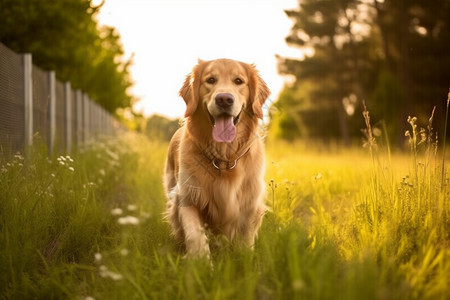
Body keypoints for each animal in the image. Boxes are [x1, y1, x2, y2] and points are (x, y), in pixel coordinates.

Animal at [165, 58, 270, 258]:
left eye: (238, 81)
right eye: (211, 80)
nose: (224, 99)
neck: (224, 158)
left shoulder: (251, 203)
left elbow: (245, 240)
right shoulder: (186, 196)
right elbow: (194, 233)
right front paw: (199, 260)